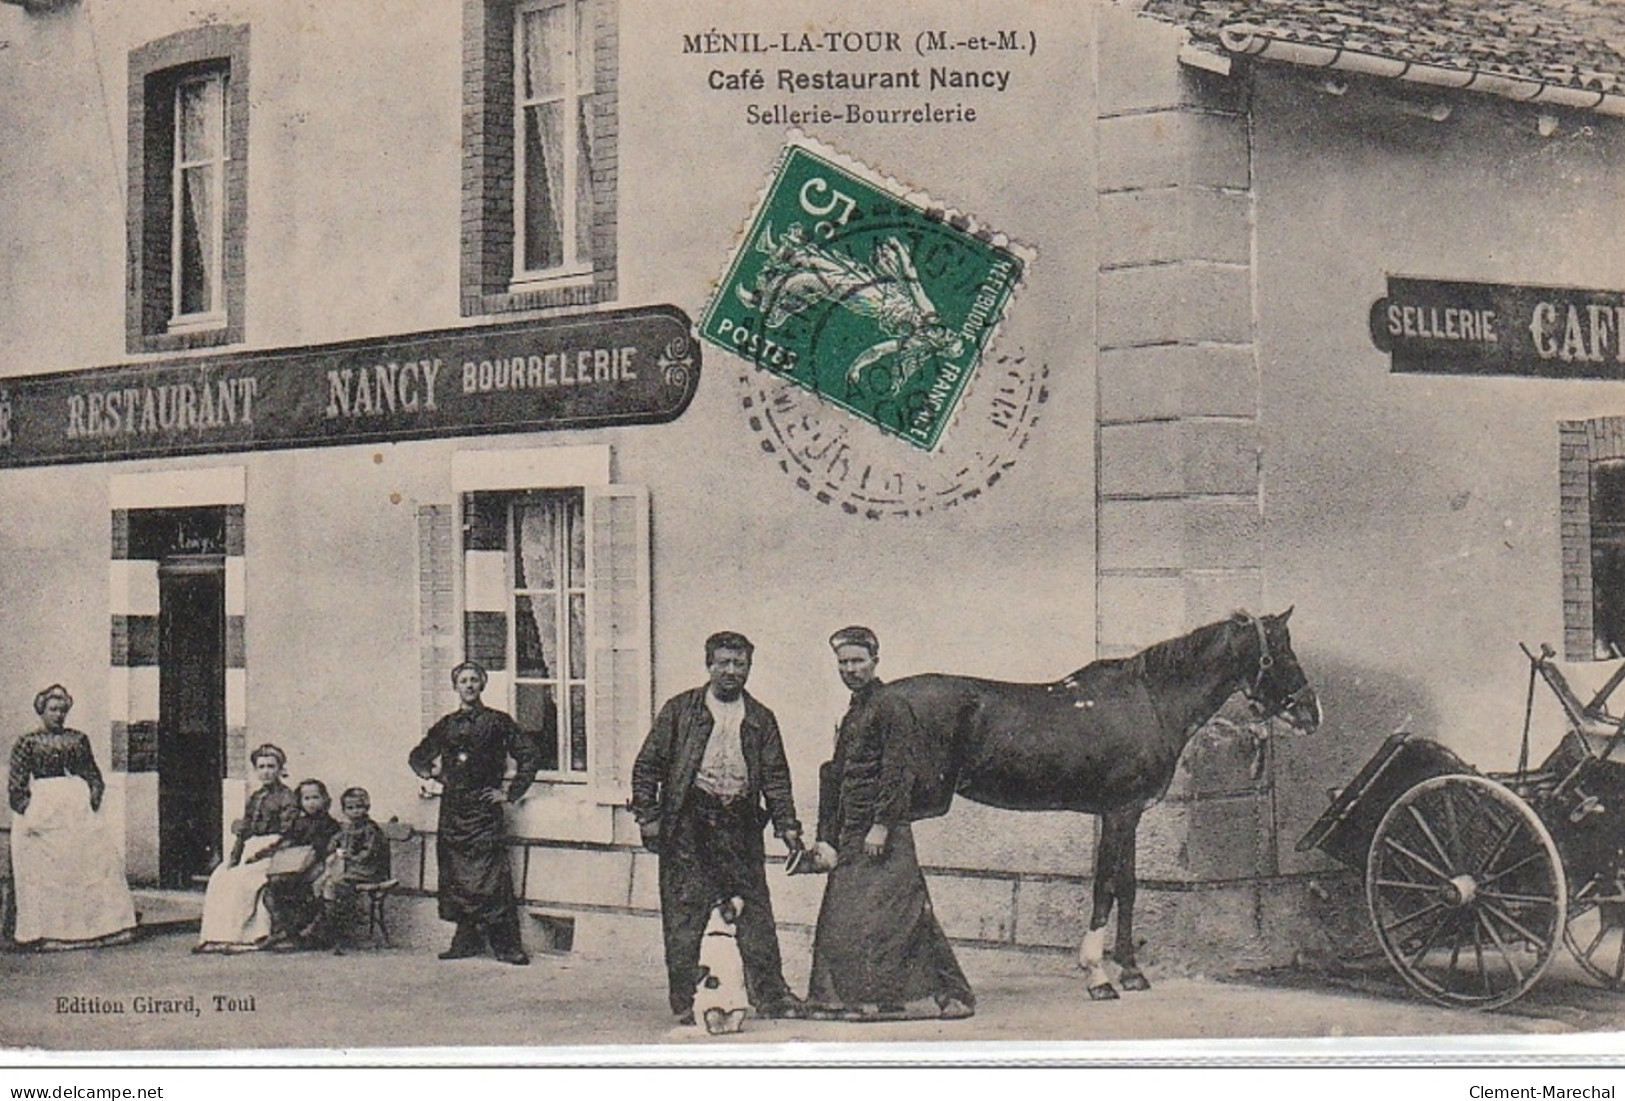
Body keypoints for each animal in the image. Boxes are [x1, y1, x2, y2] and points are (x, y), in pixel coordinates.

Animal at [877, 607, 1319, 1006]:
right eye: (1283, 653)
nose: (1311, 714)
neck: (1151, 702)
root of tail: (876, 698)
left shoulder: (1132, 813)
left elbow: (1127, 886)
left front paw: (1132, 971)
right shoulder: (1118, 812)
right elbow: (1105, 886)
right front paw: (1097, 976)